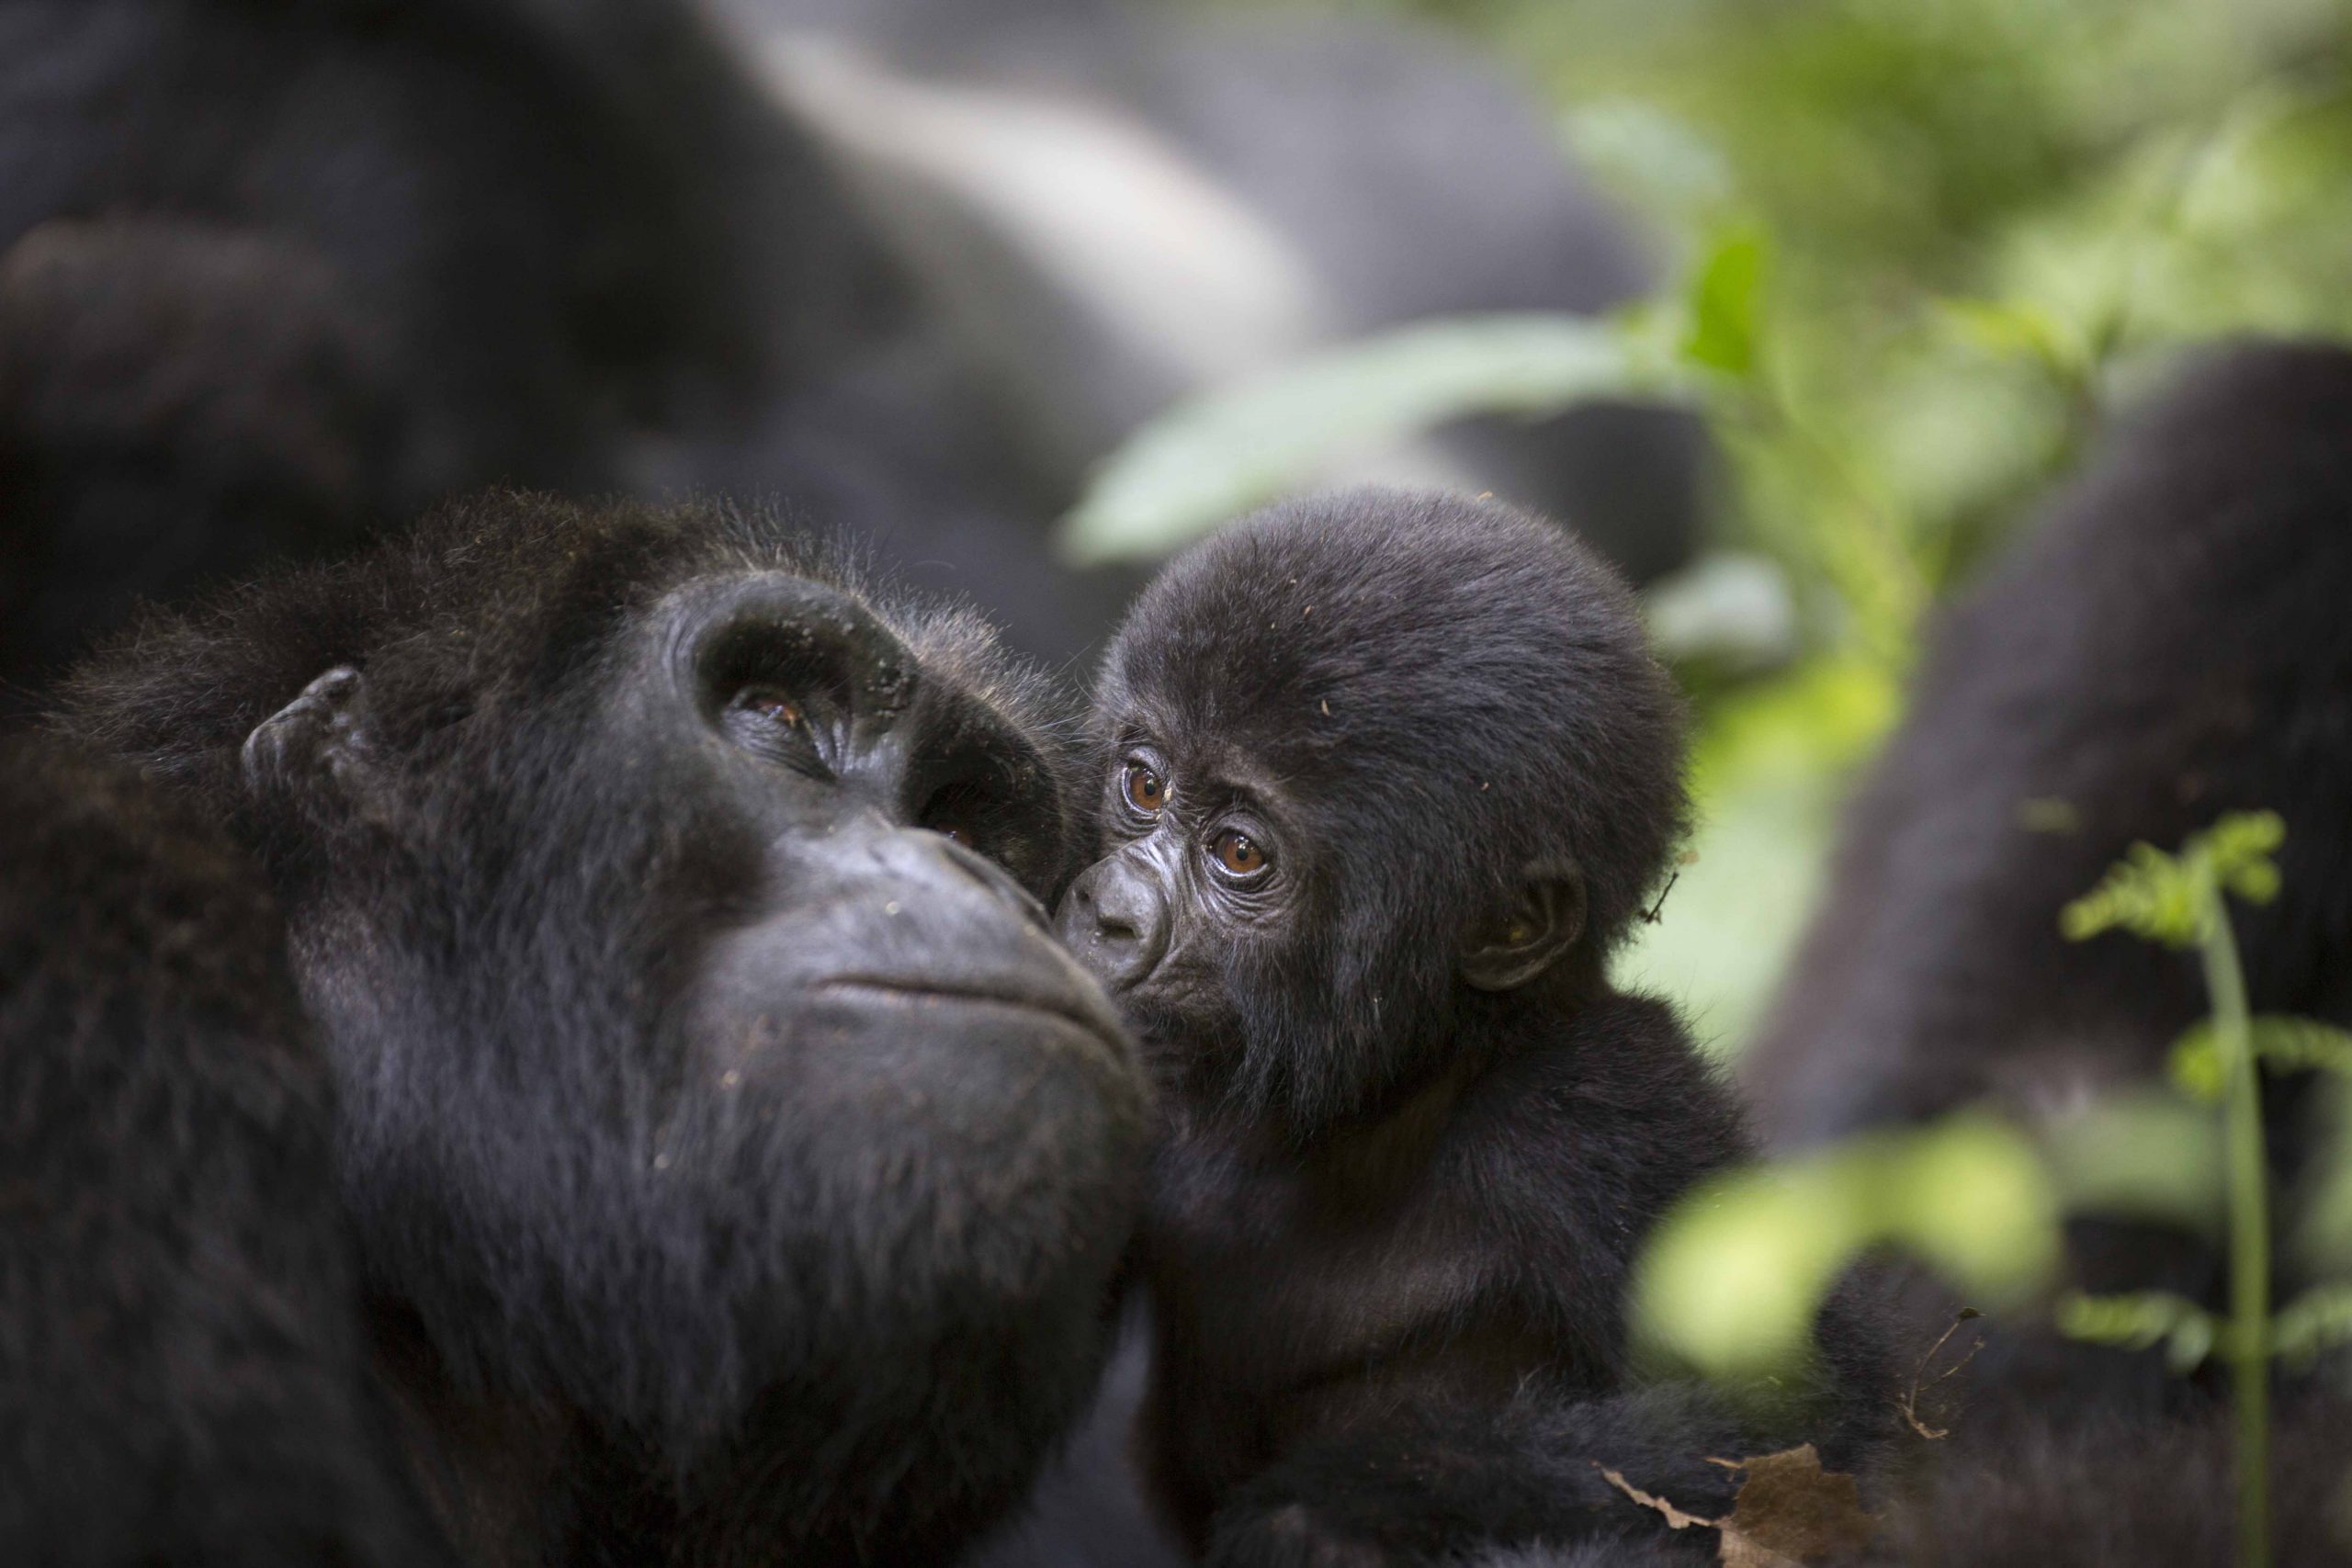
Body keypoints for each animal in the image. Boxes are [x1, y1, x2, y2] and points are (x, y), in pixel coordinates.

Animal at [1058, 495, 1882, 1568]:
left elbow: (1811, 1437)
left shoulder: (1594, 1106)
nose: (1106, 912)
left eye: (1238, 852)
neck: (1391, 1090)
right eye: (1145, 787)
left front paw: (1322, 1501)